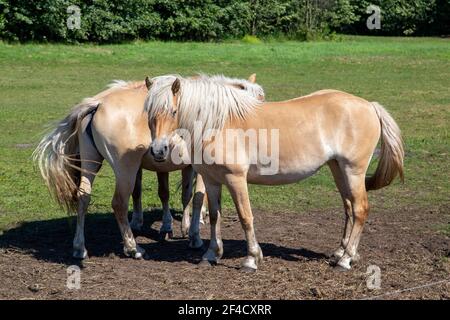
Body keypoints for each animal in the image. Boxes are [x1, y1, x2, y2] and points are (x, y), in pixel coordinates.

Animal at [36, 74, 268, 258]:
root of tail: (98, 104)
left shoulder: (180, 166)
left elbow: (182, 195)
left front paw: (180, 227)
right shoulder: (200, 170)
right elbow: (197, 197)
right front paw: (194, 236)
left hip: (90, 164)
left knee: (83, 197)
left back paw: (79, 247)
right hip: (126, 170)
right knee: (119, 203)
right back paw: (133, 248)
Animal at [144, 75, 404, 272]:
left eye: (173, 111)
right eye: (148, 114)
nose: (158, 150)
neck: (217, 123)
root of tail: (369, 105)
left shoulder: (235, 178)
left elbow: (245, 216)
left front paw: (251, 259)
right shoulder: (211, 180)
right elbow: (215, 216)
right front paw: (211, 254)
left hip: (353, 171)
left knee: (360, 209)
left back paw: (346, 259)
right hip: (338, 169)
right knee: (349, 208)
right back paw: (341, 252)